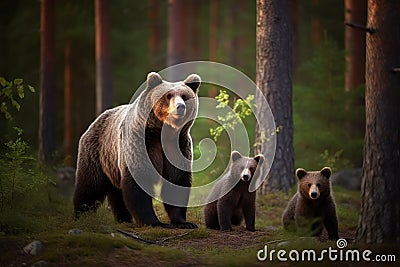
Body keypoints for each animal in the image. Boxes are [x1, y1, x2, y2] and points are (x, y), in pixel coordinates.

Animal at [73, 72, 200, 229]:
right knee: (90, 185)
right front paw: (153, 222)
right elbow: (138, 181)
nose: (180, 107)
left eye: (184, 96)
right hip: (97, 151)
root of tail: (95, 121)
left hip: (112, 161)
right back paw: (81, 215)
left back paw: (123, 218)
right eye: (168, 95)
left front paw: (184, 222)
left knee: (116, 192)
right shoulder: (141, 143)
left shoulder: (177, 147)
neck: (163, 133)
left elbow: (177, 181)